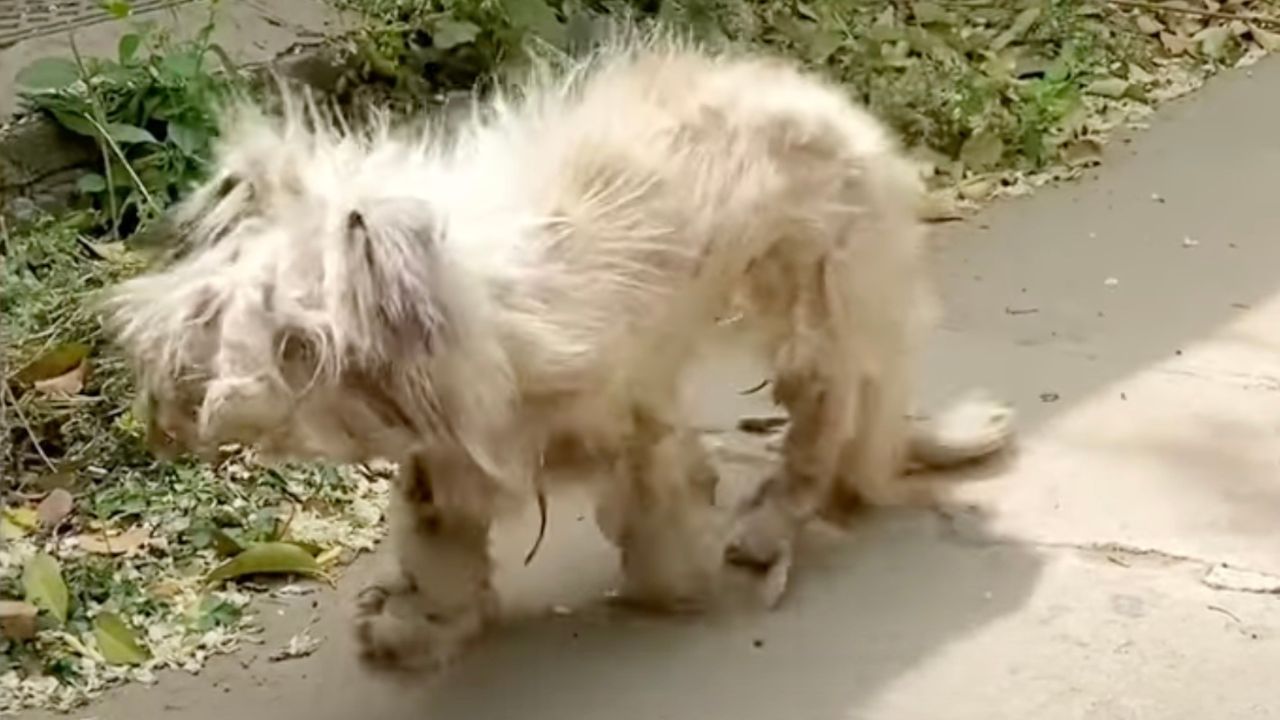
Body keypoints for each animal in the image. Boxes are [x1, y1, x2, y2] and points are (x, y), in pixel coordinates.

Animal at [104, 32, 1013, 671]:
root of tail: (848, 120)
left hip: (818, 305)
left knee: (823, 433)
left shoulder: (624, 413)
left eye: (298, 343)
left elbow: (657, 505)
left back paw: (766, 526)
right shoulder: (449, 461)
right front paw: (417, 625)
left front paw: (672, 580)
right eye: (220, 321)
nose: (202, 408)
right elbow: (438, 547)